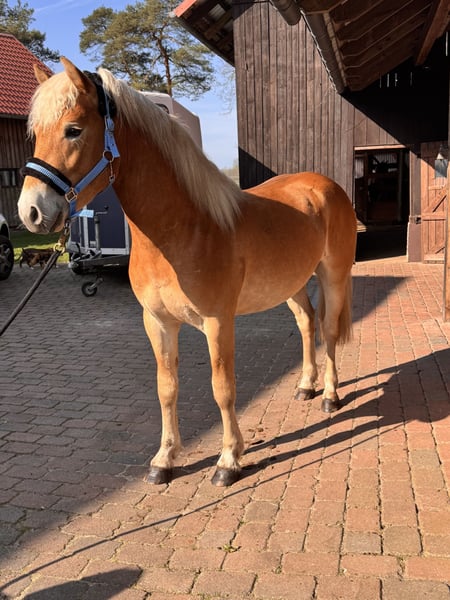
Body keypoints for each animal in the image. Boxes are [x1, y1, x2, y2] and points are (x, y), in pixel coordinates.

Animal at [18, 58, 357, 487]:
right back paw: (305, 387)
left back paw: (329, 395)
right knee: (307, 323)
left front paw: (229, 460)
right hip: (291, 284)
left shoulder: (218, 322)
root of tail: (325, 186)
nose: (31, 212)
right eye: (35, 134)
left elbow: (223, 389)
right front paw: (165, 459)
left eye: (73, 129)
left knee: (328, 330)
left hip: (333, 276)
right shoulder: (158, 322)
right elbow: (166, 388)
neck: (183, 229)